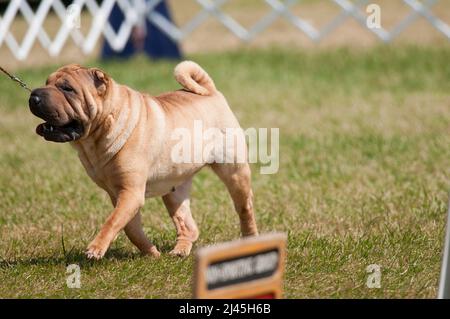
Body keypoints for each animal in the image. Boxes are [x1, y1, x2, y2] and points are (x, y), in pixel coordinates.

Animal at [28, 62, 258, 260]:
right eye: (47, 82)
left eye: (67, 89)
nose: (34, 95)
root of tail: (210, 92)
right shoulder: (119, 194)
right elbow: (129, 227)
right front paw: (151, 253)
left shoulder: (131, 192)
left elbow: (112, 221)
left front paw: (95, 249)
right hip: (174, 189)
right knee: (187, 225)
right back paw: (180, 250)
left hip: (234, 172)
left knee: (244, 208)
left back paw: (250, 240)